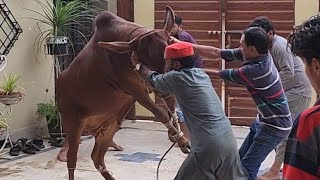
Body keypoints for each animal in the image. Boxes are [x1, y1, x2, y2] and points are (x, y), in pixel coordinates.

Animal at [56, 6, 189, 179]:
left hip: (111, 126)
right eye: (144, 60)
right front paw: (181, 140)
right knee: (72, 160)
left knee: (97, 157)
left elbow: (171, 111)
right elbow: (161, 113)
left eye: (167, 50)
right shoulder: (134, 89)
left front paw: (181, 140)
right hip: (73, 124)